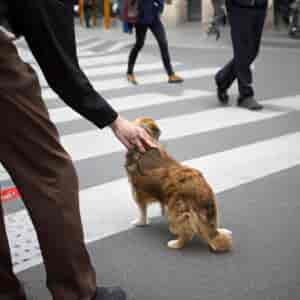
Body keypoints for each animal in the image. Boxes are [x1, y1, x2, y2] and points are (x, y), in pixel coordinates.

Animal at [125, 117, 233, 253]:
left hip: (175, 209)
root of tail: (201, 189)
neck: (146, 148)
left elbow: (142, 212)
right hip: (208, 208)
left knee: (188, 232)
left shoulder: (138, 192)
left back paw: (176, 243)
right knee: (210, 226)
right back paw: (221, 231)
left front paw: (140, 222)